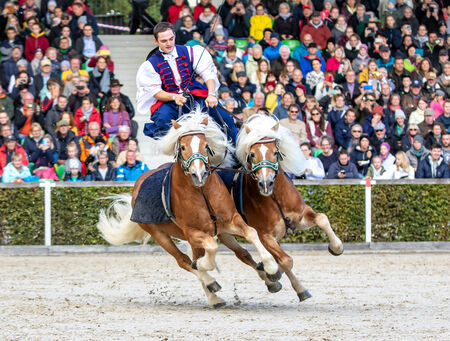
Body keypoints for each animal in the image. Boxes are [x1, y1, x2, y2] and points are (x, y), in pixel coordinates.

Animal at [97, 109, 282, 308]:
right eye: (183, 147)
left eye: (205, 145)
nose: (198, 174)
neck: (201, 191)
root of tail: (140, 181)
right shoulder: (192, 232)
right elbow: (209, 250)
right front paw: (203, 267)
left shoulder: (231, 220)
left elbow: (252, 233)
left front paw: (272, 268)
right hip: (160, 235)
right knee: (184, 261)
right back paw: (212, 290)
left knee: (236, 253)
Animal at [217, 114, 342, 300]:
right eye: (252, 154)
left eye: (275, 152)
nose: (265, 183)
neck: (275, 197)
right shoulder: (265, 236)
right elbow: (286, 261)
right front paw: (280, 276)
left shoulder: (300, 217)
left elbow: (322, 219)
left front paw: (336, 247)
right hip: (224, 233)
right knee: (244, 255)